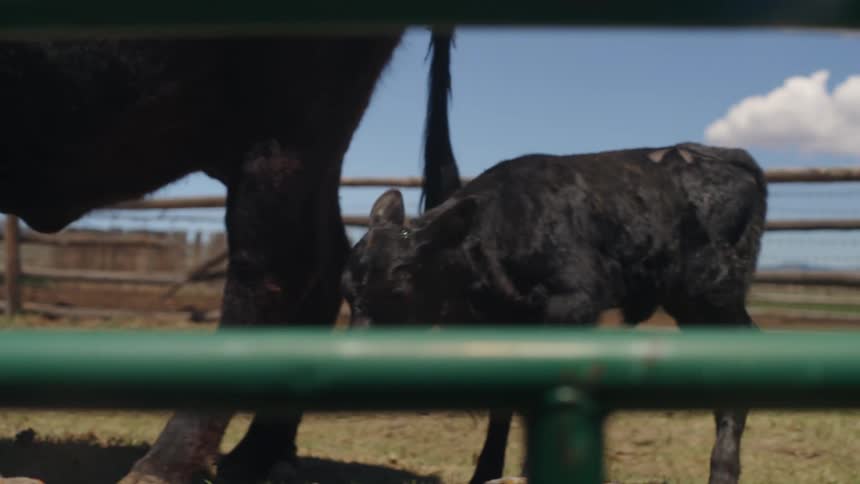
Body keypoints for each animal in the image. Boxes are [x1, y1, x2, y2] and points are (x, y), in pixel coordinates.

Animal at [341, 37, 767, 484]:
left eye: (400, 285)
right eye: (347, 292)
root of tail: (725, 154)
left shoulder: (572, 303)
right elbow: (502, 402)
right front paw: (486, 471)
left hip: (712, 293)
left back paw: (723, 468)